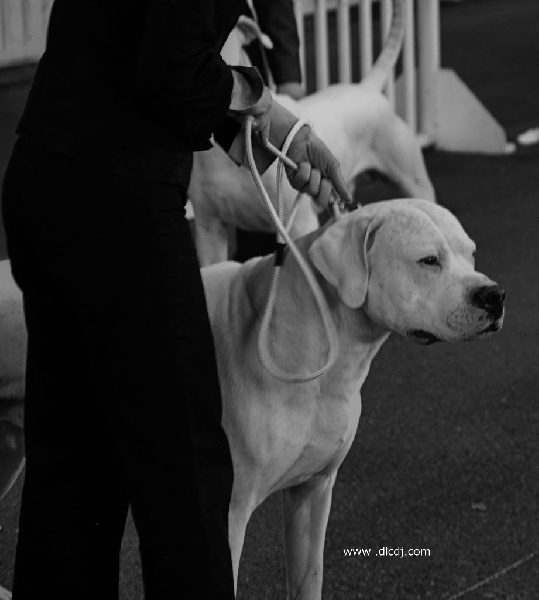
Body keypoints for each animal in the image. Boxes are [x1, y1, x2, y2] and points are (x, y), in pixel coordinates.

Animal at [201, 199, 504, 597]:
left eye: (470, 254)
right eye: (428, 261)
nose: (494, 295)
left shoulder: (312, 493)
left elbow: (308, 578)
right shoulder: (229, 515)